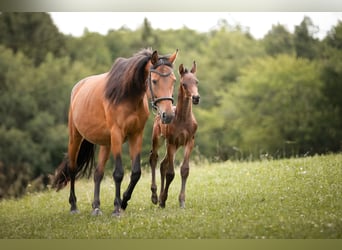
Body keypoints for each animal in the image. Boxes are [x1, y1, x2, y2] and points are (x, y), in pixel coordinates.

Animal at [53, 48, 179, 215]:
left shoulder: (136, 135)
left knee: (98, 173)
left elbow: (136, 173)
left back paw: (96, 207)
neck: (127, 95)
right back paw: (74, 206)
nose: (168, 115)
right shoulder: (117, 135)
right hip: (75, 137)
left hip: (106, 144)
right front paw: (117, 208)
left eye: (174, 80)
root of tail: (77, 88)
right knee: (73, 169)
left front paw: (124, 202)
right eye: (154, 81)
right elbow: (118, 173)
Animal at [150, 61, 200, 208]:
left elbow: (184, 170)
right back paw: (155, 197)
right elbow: (171, 173)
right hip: (159, 139)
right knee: (154, 159)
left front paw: (182, 201)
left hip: (176, 145)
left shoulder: (189, 141)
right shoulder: (171, 141)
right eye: (184, 83)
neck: (183, 119)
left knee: (162, 164)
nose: (196, 98)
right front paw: (163, 199)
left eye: (196, 82)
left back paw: (160, 198)